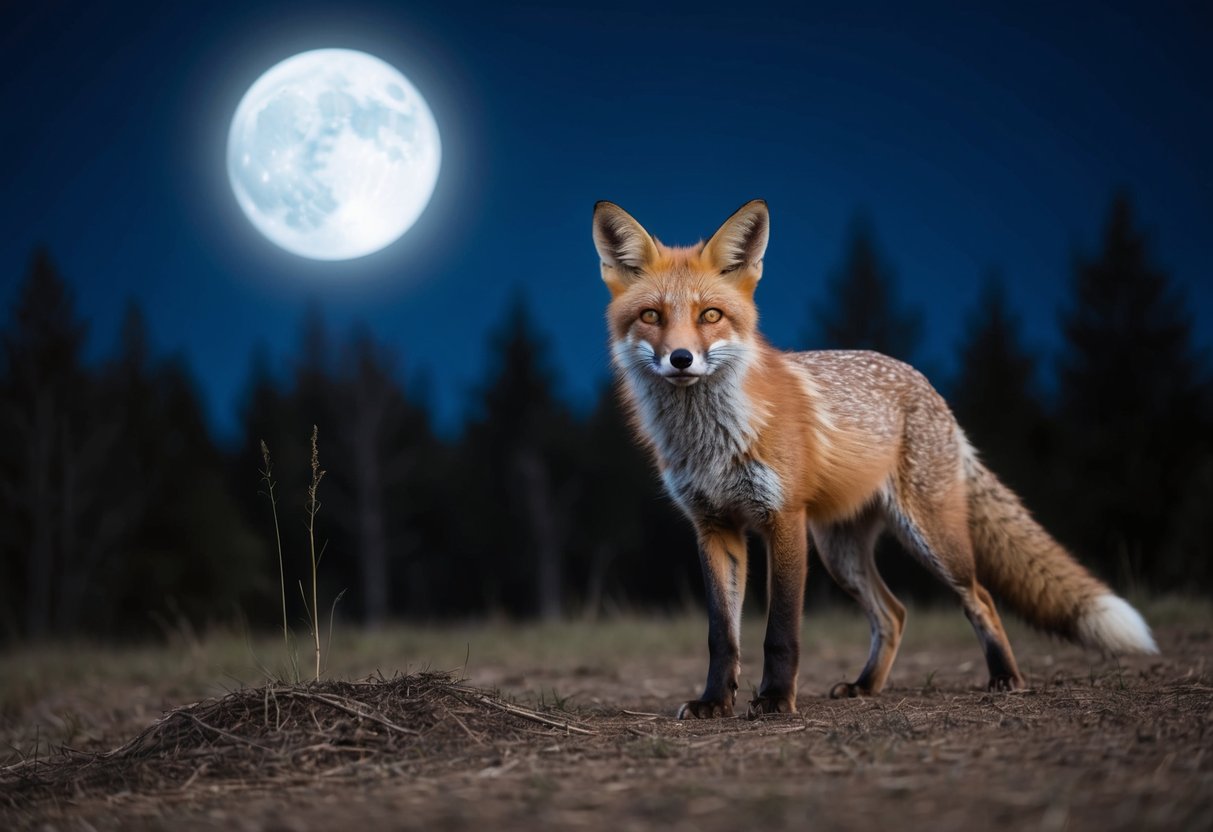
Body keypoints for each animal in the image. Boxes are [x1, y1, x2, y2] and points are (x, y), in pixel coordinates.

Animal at [592, 198, 1159, 719]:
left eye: (710, 315)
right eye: (651, 316)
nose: (681, 359)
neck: (711, 440)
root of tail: (928, 386)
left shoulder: (783, 519)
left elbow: (781, 632)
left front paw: (775, 699)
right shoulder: (714, 527)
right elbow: (720, 636)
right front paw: (714, 701)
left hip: (931, 539)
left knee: (981, 599)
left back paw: (1005, 677)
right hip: (841, 553)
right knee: (894, 613)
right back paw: (866, 686)